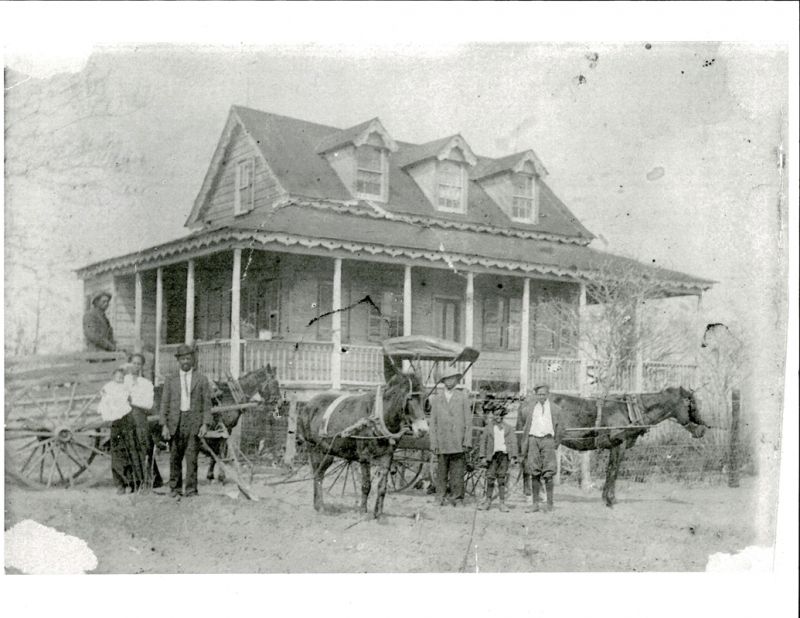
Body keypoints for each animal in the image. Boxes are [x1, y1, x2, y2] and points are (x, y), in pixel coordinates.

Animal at [296, 368, 428, 516]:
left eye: (424, 399)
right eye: (409, 398)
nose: (423, 430)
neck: (378, 418)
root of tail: (307, 404)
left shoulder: (387, 457)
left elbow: (382, 487)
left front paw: (378, 514)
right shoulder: (365, 457)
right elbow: (366, 485)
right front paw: (363, 511)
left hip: (327, 451)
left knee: (319, 474)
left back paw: (318, 505)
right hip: (314, 448)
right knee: (317, 475)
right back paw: (320, 506)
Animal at [552, 384, 708, 506]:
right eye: (691, 404)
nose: (703, 429)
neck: (630, 412)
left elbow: (610, 470)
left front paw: (606, 497)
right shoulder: (619, 445)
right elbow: (613, 471)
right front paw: (610, 499)